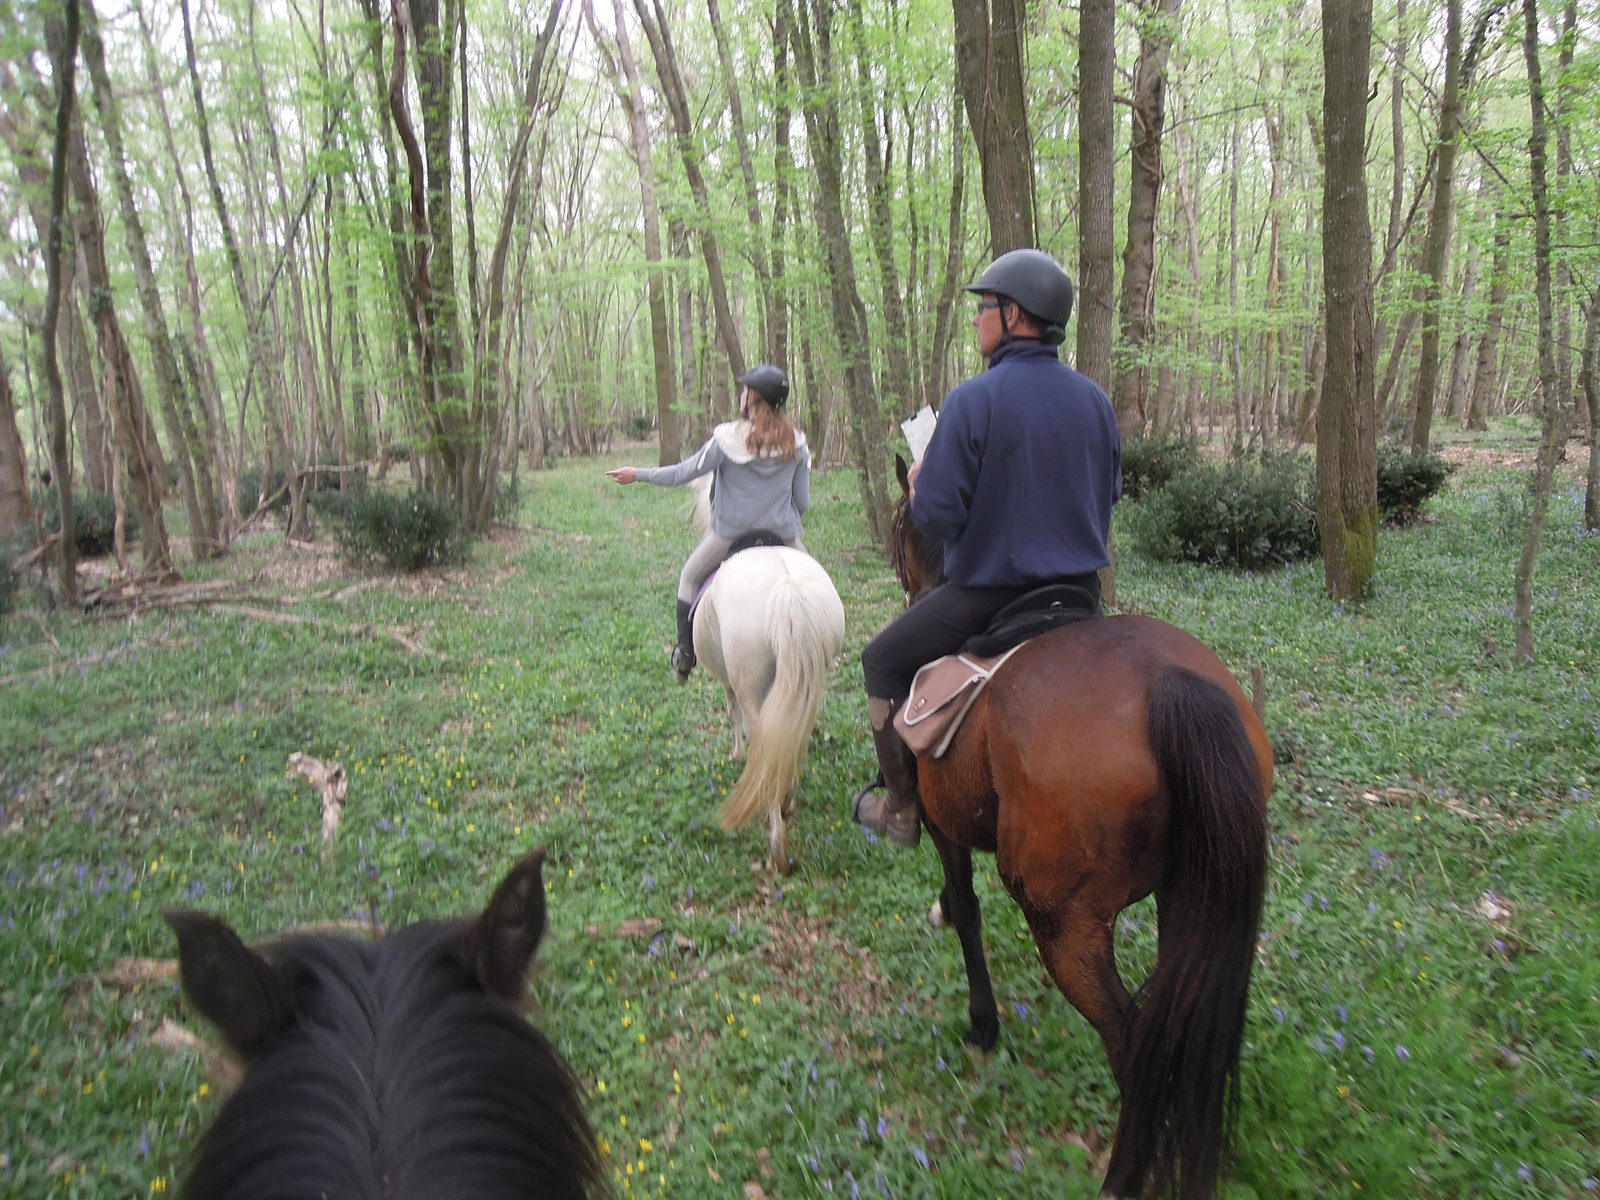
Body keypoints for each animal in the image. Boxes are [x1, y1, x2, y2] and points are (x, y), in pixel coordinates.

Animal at [688, 477, 845, 873]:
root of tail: (788, 592)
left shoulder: (728, 682)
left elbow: (732, 716)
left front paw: (736, 754)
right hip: (808, 682)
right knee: (793, 735)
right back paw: (787, 801)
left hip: (753, 685)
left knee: (765, 741)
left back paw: (776, 844)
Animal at [885, 457, 1272, 1200]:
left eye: (896, 530)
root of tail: (1170, 685)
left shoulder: (946, 822)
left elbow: (968, 908)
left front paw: (982, 1023)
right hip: (1189, 894)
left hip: (1064, 921)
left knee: (1130, 1041)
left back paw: (1126, 1173)